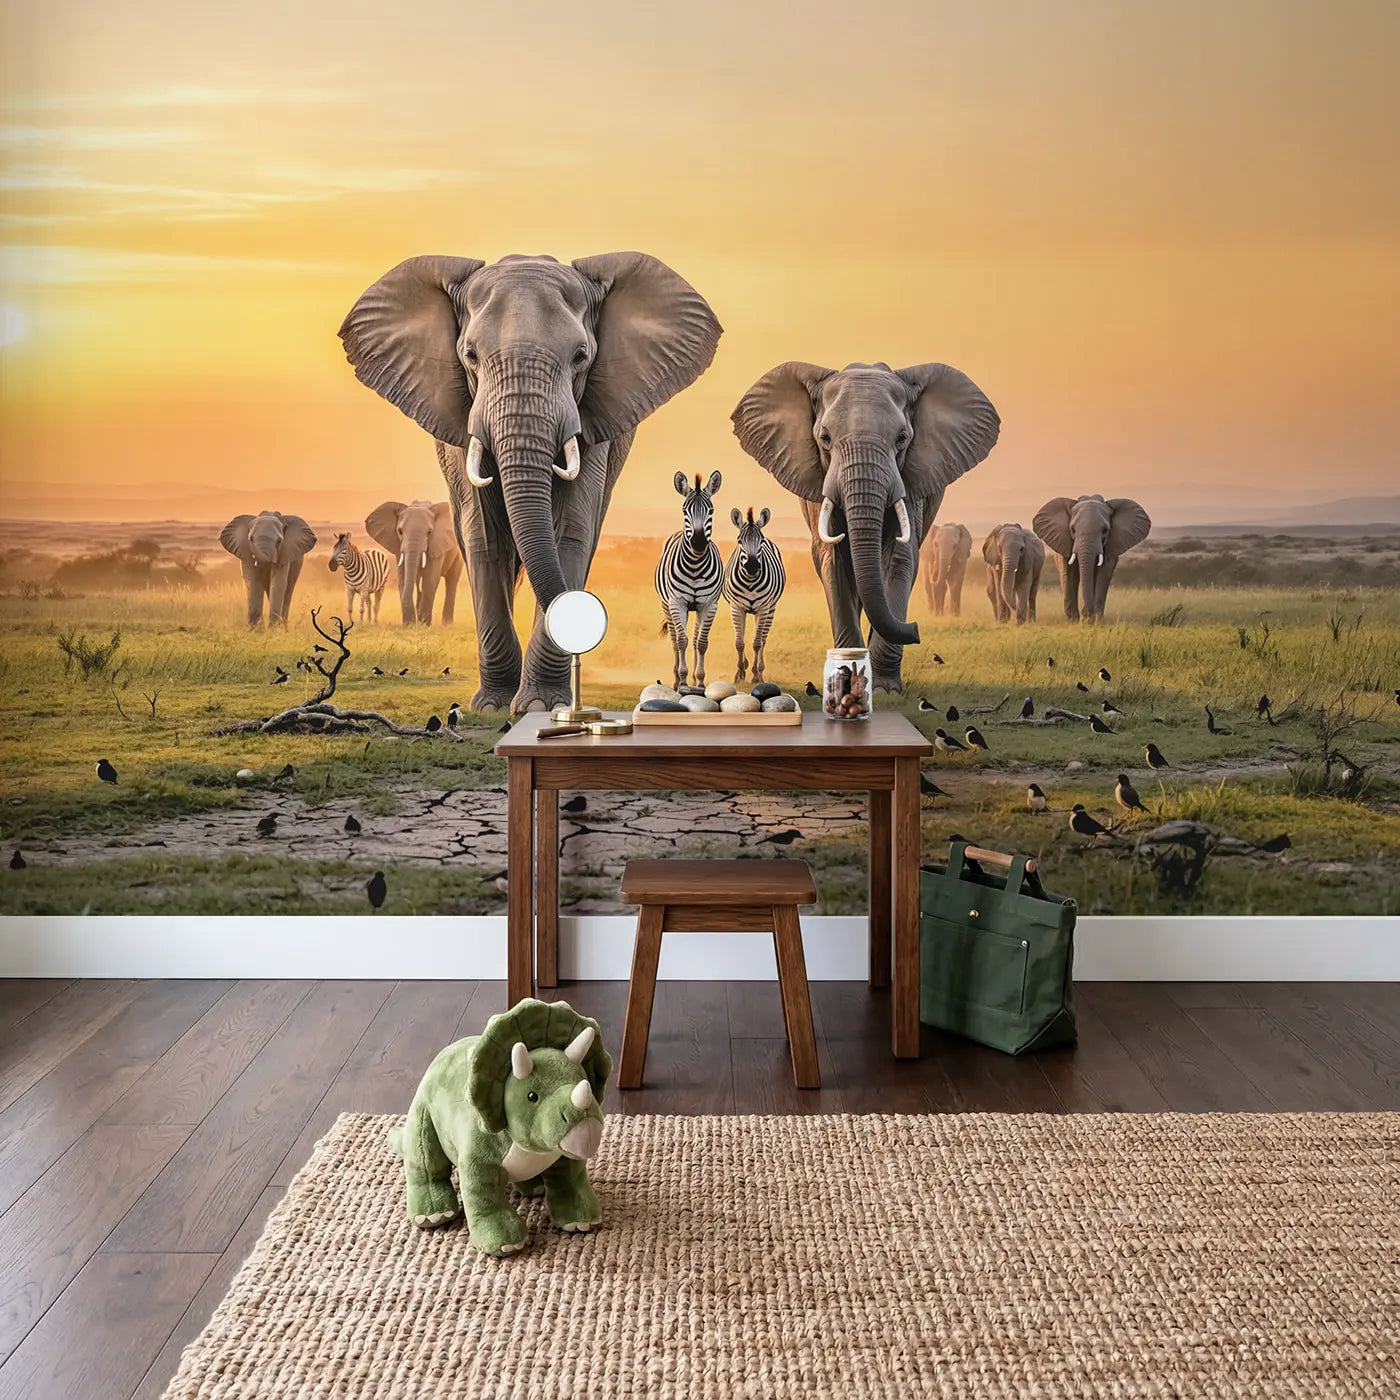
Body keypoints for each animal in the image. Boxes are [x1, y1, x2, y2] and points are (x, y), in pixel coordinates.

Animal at [655, 470, 723, 690]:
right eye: (685, 510)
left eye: (711, 510)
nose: (699, 543)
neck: (695, 565)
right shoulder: (677, 603)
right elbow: (682, 641)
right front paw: (683, 680)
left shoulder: (709, 604)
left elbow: (701, 642)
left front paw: (699, 681)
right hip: (667, 605)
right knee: (676, 640)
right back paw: (677, 679)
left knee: (694, 638)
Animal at [722, 506, 785, 683]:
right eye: (739, 541)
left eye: (761, 542)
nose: (751, 566)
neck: (749, 581)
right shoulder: (736, 607)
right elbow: (739, 642)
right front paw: (739, 673)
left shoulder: (763, 608)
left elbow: (757, 643)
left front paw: (756, 675)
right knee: (743, 635)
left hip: (770, 609)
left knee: (763, 639)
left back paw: (760, 670)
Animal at [732, 361, 1000, 691]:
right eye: (825, 438)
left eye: (902, 438)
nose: (915, 629)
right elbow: (832, 559)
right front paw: (848, 673)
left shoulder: (908, 480)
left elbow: (900, 558)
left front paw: (884, 687)